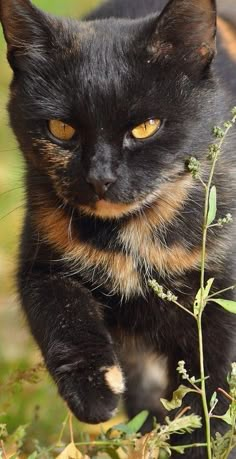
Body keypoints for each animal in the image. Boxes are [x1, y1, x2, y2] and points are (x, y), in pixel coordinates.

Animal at [0, 0, 236, 456]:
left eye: (145, 127)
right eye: (62, 129)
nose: (100, 178)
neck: (128, 236)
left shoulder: (220, 290)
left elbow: (213, 384)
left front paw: (202, 441)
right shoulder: (40, 260)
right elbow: (62, 314)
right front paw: (93, 391)